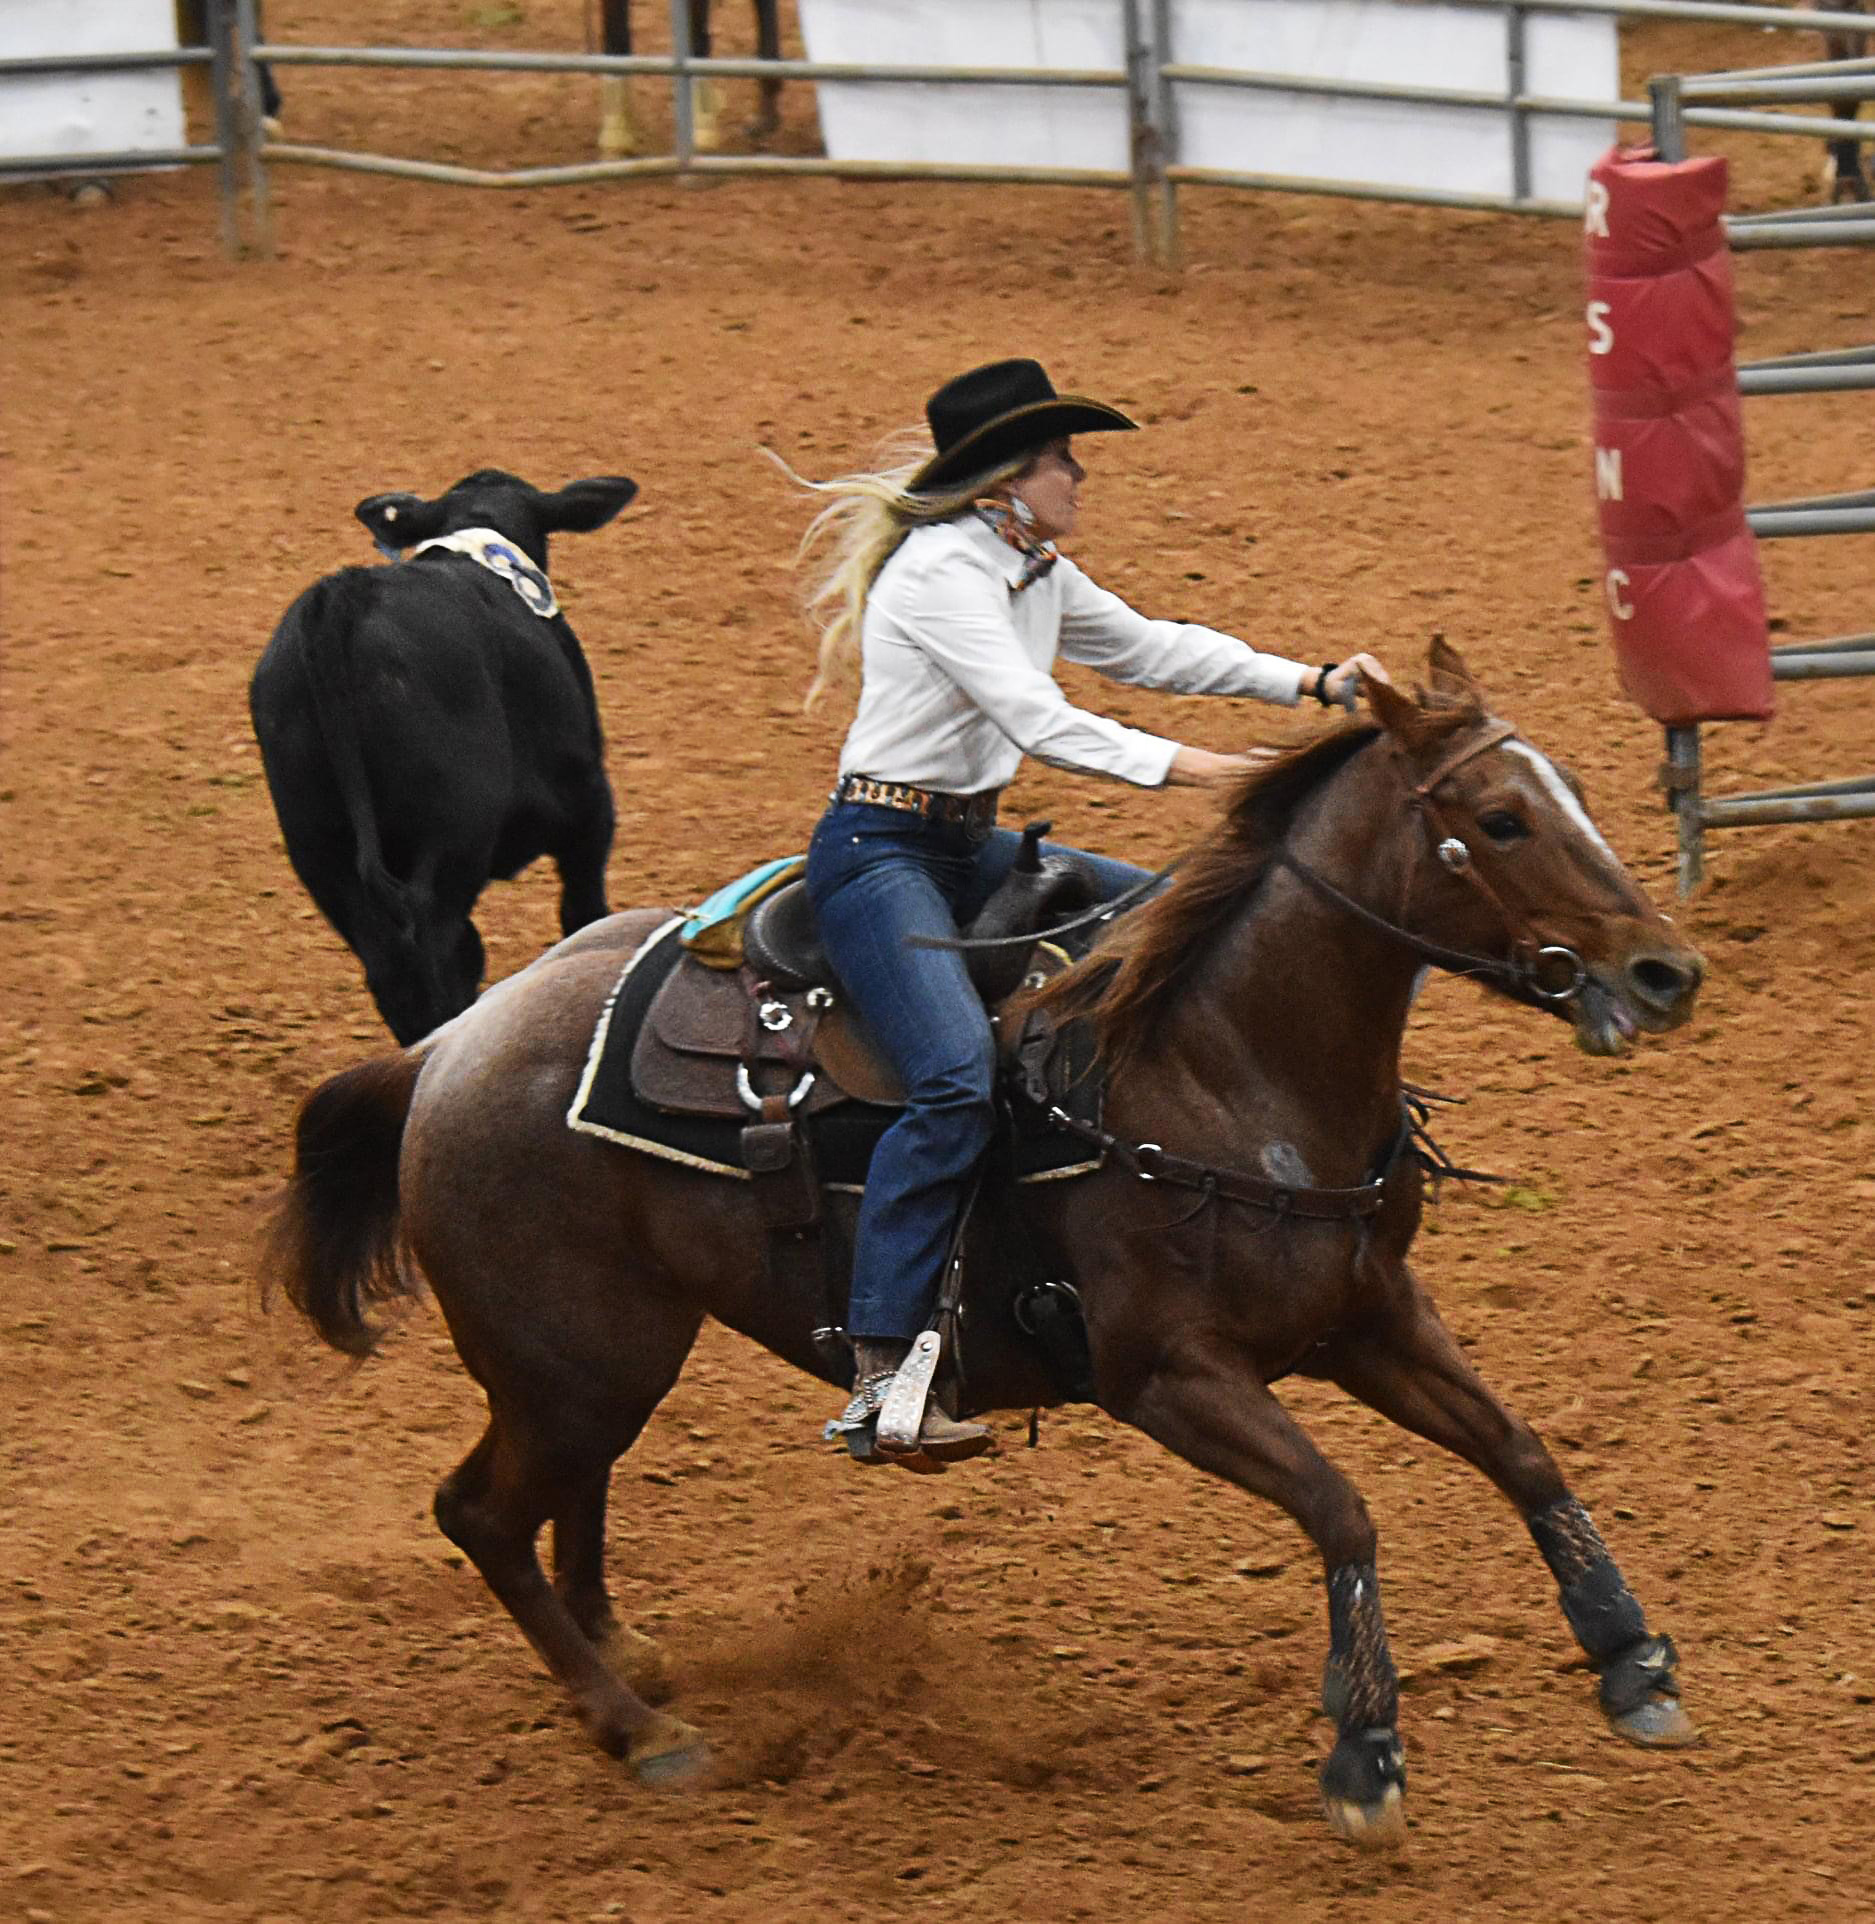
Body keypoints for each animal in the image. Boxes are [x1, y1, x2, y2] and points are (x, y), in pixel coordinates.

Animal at [267, 646, 1715, 1847]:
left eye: (1576, 790)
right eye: (1500, 819)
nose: (1666, 973)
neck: (1218, 1067)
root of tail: (444, 1050)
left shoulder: (1366, 1315)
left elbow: (1520, 1452)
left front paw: (1631, 1660)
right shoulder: (1165, 1377)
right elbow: (1339, 1507)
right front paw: (1363, 1751)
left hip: (605, 1362)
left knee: (563, 1494)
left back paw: (630, 1654)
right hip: (571, 1362)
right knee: (482, 1513)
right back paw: (641, 1729)